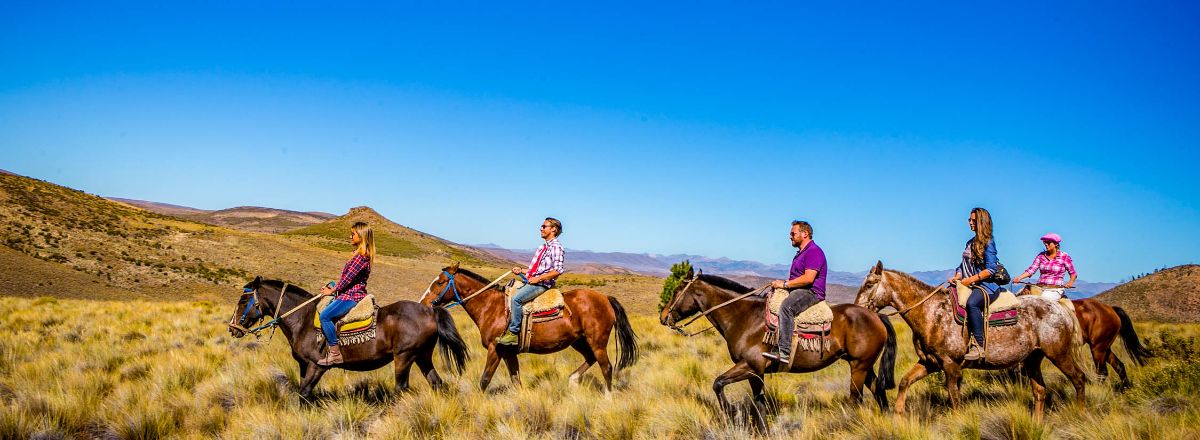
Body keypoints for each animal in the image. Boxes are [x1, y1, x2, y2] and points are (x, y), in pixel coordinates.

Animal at [226, 276, 470, 400]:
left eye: (243, 300)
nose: (232, 328)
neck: (302, 319)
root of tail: (429, 311)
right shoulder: (304, 366)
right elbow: (304, 394)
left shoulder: (317, 366)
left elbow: (304, 394)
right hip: (422, 356)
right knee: (436, 383)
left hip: (405, 357)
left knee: (401, 388)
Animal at [657, 270, 902, 431]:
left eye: (678, 290)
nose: (663, 316)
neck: (744, 317)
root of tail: (876, 316)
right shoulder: (756, 373)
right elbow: (759, 403)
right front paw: (762, 430)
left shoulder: (750, 365)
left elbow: (718, 383)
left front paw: (730, 413)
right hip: (863, 366)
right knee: (878, 391)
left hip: (859, 367)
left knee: (856, 398)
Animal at [854, 263, 1089, 422]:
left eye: (869, 284)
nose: (858, 309)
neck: (932, 313)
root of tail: (1060, 308)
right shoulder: (930, 363)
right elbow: (905, 382)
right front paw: (897, 416)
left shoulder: (951, 365)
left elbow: (954, 398)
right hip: (1033, 359)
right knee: (1040, 391)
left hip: (1059, 354)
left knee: (1079, 379)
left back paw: (1080, 413)